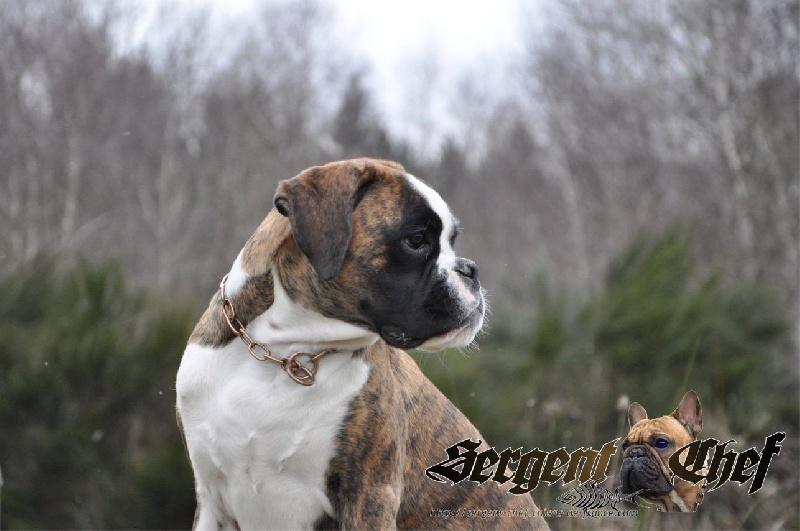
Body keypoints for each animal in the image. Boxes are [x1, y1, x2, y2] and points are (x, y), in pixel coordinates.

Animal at [176, 159, 549, 529]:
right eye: (416, 239)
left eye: (451, 240)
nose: (470, 268)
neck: (286, 351)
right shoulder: (210, 501)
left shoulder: (368, 496)